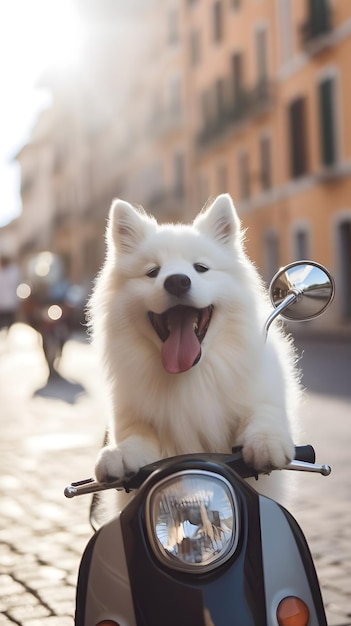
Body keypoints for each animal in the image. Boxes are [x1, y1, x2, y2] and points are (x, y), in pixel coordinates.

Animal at [89, 193, 302, 480]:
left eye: (201, 268)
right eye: (153, 272)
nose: (177, 281)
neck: (190, 377)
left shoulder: (262, 395)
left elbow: (263, 412)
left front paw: (265, 442)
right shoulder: (135, 417)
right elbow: (137, 435)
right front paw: (120, 453)